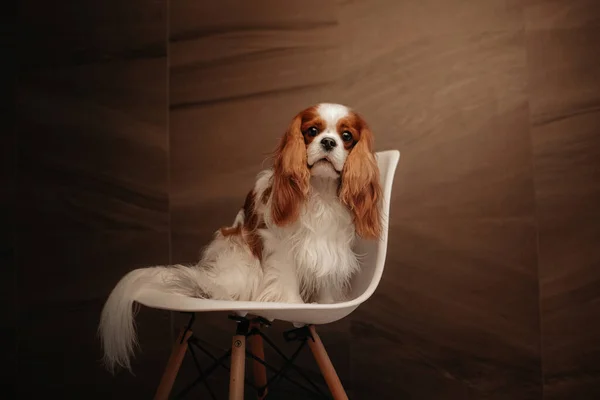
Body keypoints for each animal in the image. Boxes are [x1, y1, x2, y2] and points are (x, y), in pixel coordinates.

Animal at [97, 102, 380, 372]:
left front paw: (326, 303)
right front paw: (294, 302)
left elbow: (326, 276)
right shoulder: (279, 245)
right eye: (312, 131)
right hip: (241, 258)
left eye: (346, 136)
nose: (328, 142)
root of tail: (209, 274)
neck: (319, 189)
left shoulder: (330, 245)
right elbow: (286, 278)